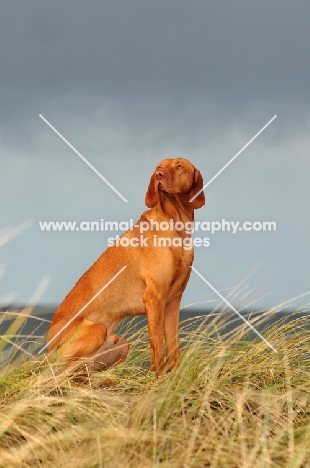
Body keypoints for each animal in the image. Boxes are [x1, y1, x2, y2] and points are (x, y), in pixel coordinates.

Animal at [47, 159, 205, 378]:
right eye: (159, 167)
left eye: (179, 166)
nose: (159, 175)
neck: (176, 226)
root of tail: (46, 349)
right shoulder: (154, 299)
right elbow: (157, 343)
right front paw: (158, 378)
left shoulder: (173, 302)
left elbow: (174, 346)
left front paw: (174, 378)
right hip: (95, 331)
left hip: (119, 343)